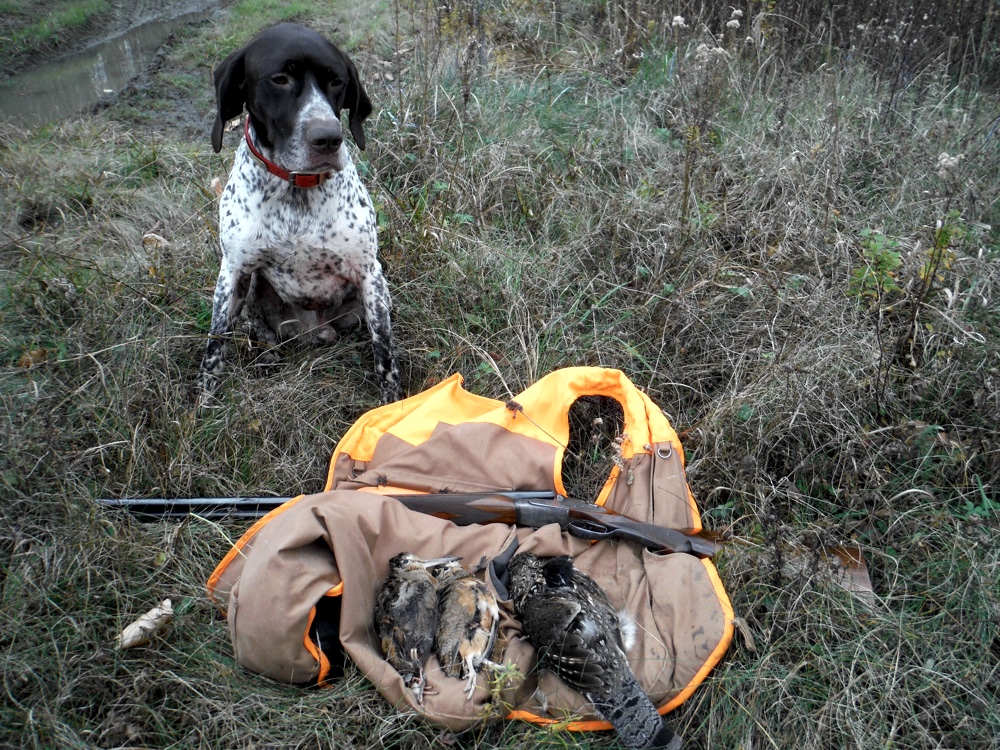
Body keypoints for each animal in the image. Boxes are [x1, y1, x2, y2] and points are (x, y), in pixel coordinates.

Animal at [197, 22, 400, 406]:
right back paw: (267, 356)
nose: (329, 138)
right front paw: (203, 402)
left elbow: (384, 352)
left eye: (337, 81)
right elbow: (216, 345)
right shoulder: (233, 272)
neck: (296, 189)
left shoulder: (369, 274)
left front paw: (395, 407)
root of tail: (316, 330)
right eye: (280, 79)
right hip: (253, 289)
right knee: (257, 330)